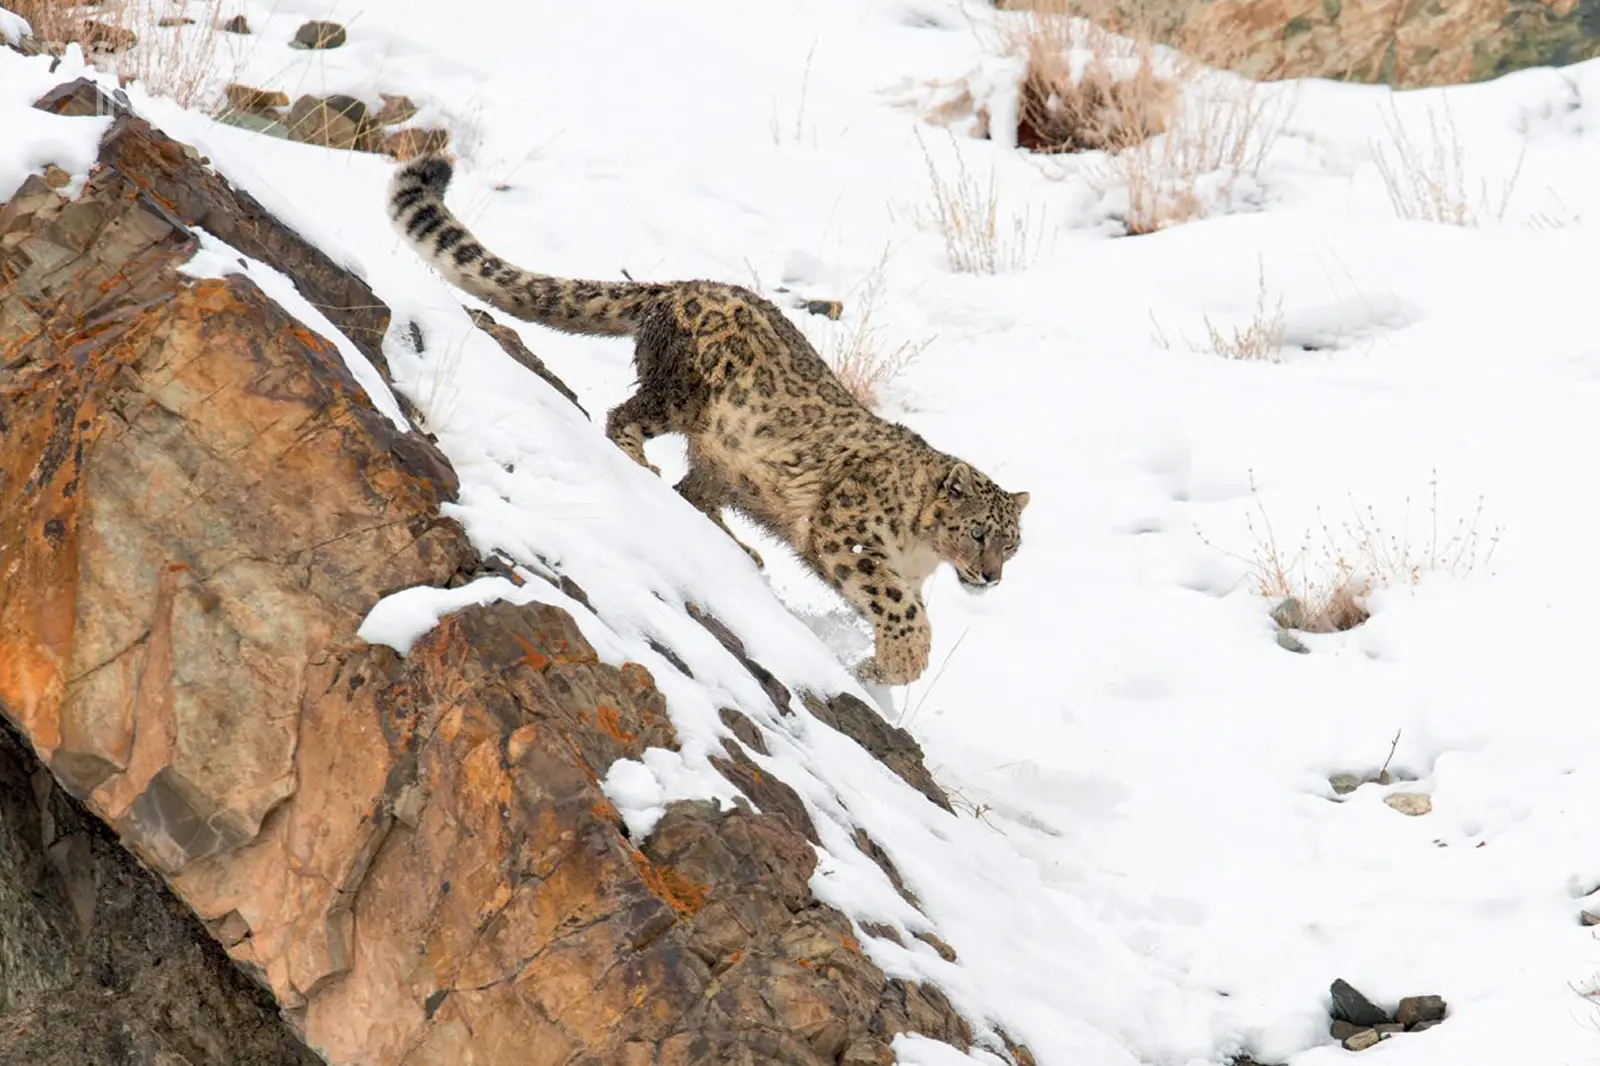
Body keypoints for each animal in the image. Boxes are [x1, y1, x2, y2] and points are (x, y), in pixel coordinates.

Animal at [387, 154, 1030, 686]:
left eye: (1011, 544)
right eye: (977, 532)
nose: (991, 577)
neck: (923, 552)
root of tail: (682, 286)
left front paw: (878, 666)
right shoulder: (849, 533)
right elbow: (900, 605)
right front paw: (899, 664)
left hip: (724, 460)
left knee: (694, 488)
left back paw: (741, 547)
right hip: (681, 393)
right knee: (626, 419)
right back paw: (642, 465)